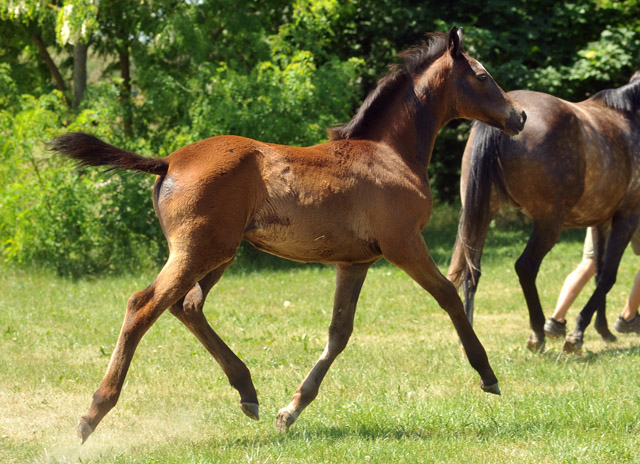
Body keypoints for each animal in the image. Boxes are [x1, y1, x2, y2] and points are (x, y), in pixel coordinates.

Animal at [48, 28, 524, 442]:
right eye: (483, 75)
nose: (518, 116)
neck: (389, 154)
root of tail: (168, 161)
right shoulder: (403, 244)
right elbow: (448, 295)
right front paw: (487, 374)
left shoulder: (355, 261)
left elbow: (339, 332)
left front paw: (290, 410)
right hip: (198, 251)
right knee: (143, 305)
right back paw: (92, 414)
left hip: (218, 254)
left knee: (187, 306)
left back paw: (247, 392)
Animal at [448, 71, 640, 352]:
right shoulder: (627, 217)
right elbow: (607, 277)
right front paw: (577, 334)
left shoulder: (600, 222)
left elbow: (597, 273)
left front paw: (603, 331)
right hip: (549, 223)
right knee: (526, 267)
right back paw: (538, 332)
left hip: (482, 214)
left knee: (471, 271)